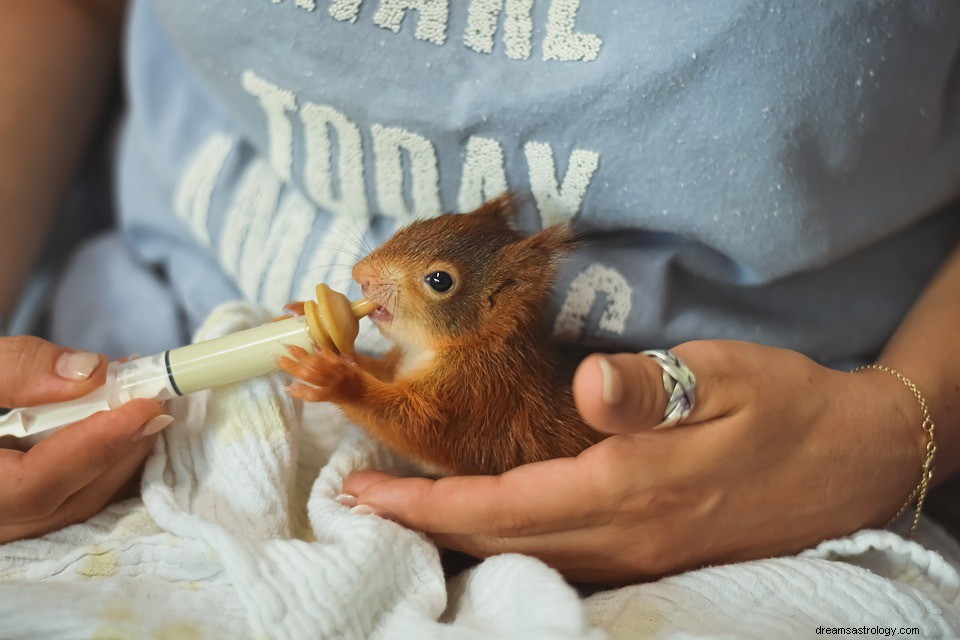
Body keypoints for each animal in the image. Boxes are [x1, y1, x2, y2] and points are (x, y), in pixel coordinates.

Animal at [278, 195, 604, 476]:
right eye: (416, 225)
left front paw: (334, 380)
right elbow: (378, 371)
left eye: (440, 280)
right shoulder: (400, 365)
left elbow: (415, 429)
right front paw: (307, 321)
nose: (361, 275)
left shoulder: (477, 394)